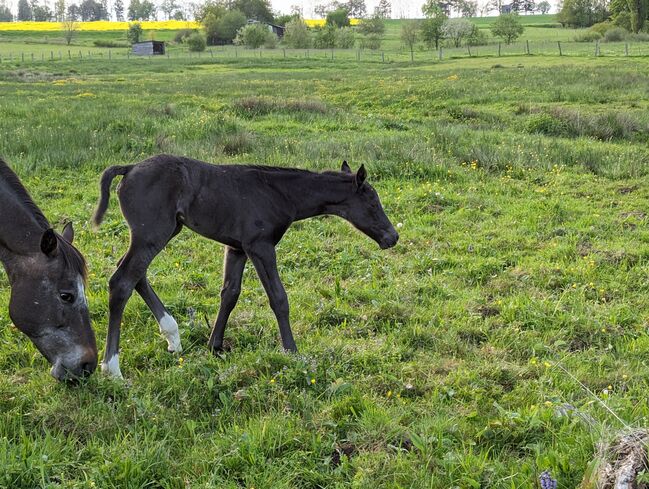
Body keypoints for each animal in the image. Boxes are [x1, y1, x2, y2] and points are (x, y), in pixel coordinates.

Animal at [93, 153, 398, 378]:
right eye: (372, 202)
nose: (392, 237)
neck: (279, 193)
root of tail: (130, 168)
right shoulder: (259, 246)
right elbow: (278, 298)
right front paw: (292, 351)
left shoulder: (237, 248)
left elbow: (229, 294)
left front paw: (214, 346)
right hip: (153, 233)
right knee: (122, 281)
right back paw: (112, 368)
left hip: (162, 232)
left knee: (136, 275)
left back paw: (173, 338)